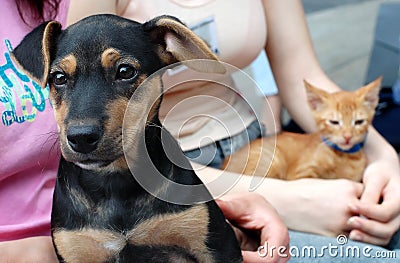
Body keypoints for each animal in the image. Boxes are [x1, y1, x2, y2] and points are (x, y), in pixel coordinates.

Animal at [12, 14, 242, 263]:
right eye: (59, 77)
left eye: (125, 71)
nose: (81, 137)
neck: (115, 180)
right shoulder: (75, 250)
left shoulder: (218, 245)